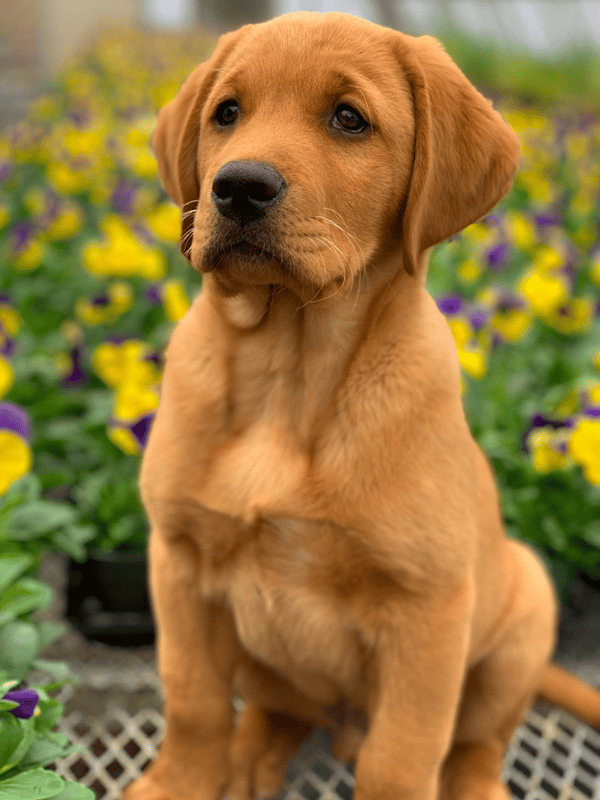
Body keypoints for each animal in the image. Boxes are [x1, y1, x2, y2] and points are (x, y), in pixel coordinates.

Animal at [122, 10, 600, 800]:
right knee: (278, 710)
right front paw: (176, 784)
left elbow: (401, 757)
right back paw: (250, 758)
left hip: (524, 610)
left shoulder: (427, 611)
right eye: (227, 113)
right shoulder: (179, 561)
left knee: (478, 741)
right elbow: (192, 702)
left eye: (349, 119)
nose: (239, 186)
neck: (290, 372)